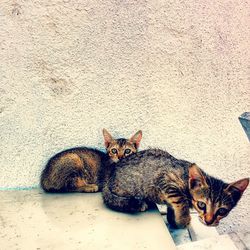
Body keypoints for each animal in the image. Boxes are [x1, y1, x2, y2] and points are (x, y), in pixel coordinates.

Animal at [101, 148, 248, 229]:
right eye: (201, 205)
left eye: (222, 211)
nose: (208, 221)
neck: (187, 179)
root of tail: (109, 178)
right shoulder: (166, 180)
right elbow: (180, 201)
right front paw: (183, 220)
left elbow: (173, 207)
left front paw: (174, 221)